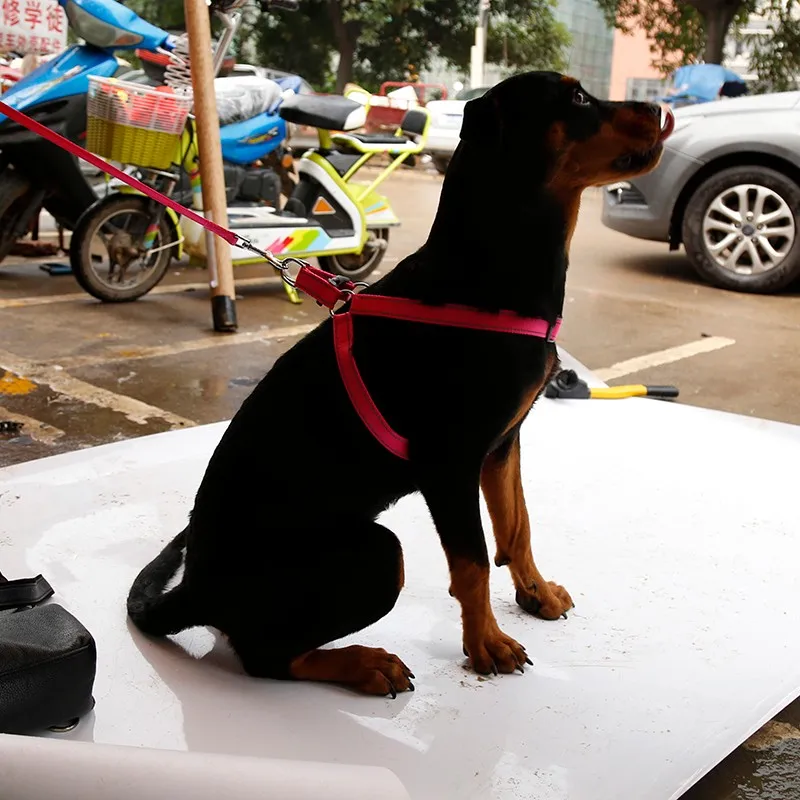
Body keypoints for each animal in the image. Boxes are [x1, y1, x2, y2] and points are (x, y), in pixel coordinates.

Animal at [128, 76, 672, 700]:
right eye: (578, 100)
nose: (661, 107)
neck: (489, 273)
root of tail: (192, 592)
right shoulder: (448, 462)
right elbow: (473, 561)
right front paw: (486, 645)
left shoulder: (502, 444)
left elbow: (517, 526)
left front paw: (535, 594)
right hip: (377, 553)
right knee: (265, 657)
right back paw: (364, 665)